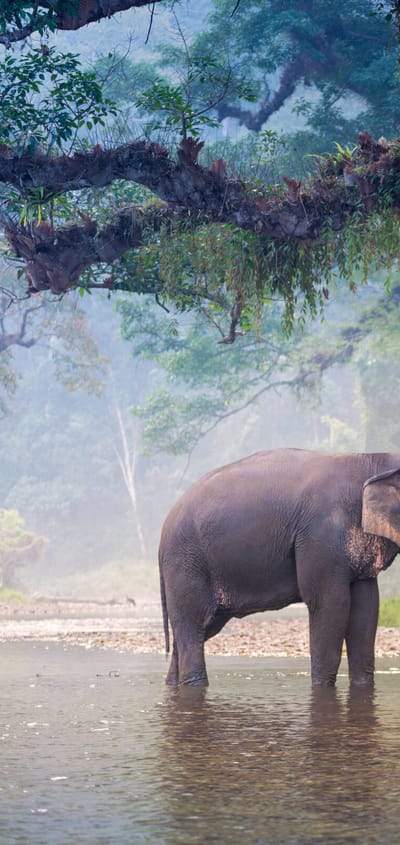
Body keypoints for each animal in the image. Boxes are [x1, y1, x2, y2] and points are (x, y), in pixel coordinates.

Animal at [159, 448, 400, 687]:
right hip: (186, 561)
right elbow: (329, 603)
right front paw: (322, 688)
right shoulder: (320, 537)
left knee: (202, 629)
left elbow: (367, 606)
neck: (371, 460)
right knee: (194, 624)